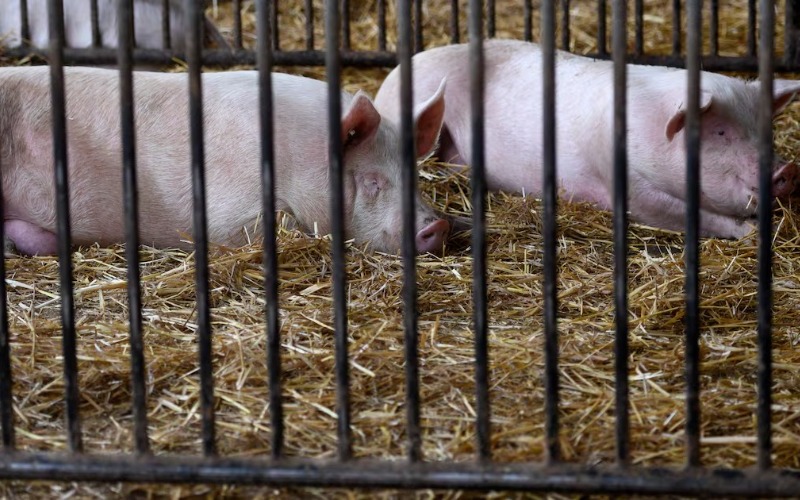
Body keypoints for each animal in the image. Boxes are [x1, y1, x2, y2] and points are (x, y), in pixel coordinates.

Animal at [374, 39, 800, 238]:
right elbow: (675, 211)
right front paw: (751, 232)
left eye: (762, 127)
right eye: (721, 132)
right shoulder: (624, 181)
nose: (787, 169)